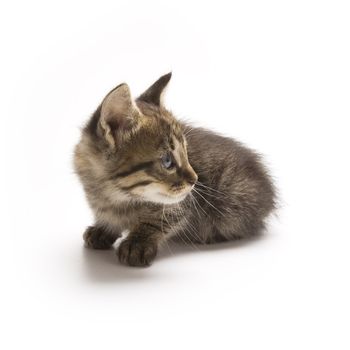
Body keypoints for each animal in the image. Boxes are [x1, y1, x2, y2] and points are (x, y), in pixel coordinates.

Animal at [74, 72, 276, 266]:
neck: (114, 195)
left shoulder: (182, 203)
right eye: (167, 161)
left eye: (186, 153)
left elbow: (161, 218)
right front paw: (104, 228)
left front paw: (138, 242)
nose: (195, 180)